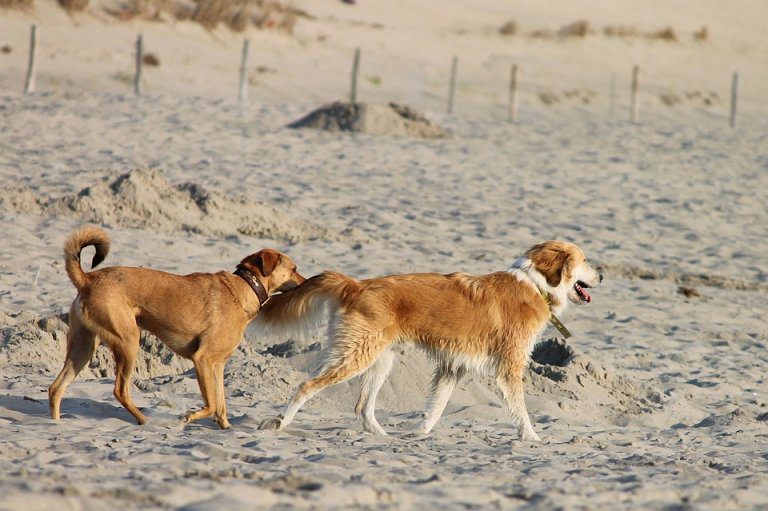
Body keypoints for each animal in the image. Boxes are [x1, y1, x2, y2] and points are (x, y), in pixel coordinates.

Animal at [47, 226, 306, 430]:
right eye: (294, 269)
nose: (306, 282)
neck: (245, 288)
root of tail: (88, 279)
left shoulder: (217, 365)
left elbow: (221, 404)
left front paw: (225, 428)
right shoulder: (203, 360)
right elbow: (212, 404)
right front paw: (189, 417)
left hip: (83, 347)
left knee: (56, 388)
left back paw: (55, 424)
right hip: (128, 341)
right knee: (120, 390)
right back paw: (143, 420)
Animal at [255, 242, 604, 442]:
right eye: (585, 260)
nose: (601, 277)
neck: (535, 284)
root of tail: (356, 284)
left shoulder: (453, 368)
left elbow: (435, 409)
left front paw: (419, 435)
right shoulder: (509, 368)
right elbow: (521, 410)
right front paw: (531, 438)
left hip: (379, 359)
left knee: (363, 408)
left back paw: (383, 437)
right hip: (355, 356)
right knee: (307, 387)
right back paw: (281, 423)